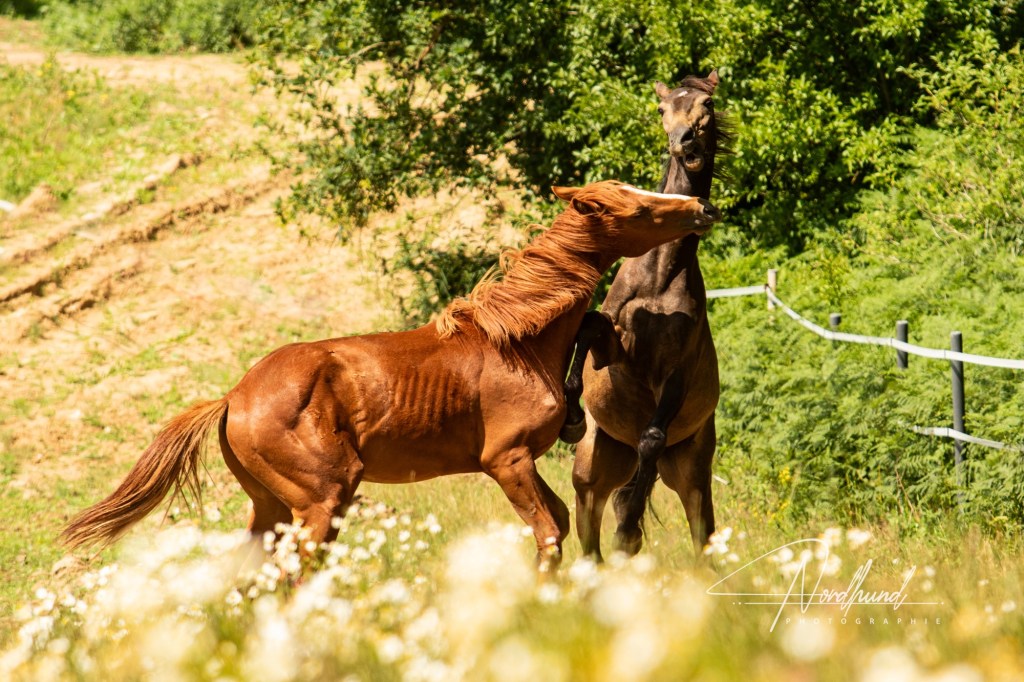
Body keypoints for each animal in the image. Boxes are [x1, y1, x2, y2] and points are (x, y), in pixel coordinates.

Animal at [60, 180, 721, 568]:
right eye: (640, 207)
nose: (702, 208)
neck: (520, 342)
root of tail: (233, 398)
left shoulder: (523, 464)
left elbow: (560, 524)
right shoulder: (506, 461)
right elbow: (549, 536)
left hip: (270, 507)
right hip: (322, 502)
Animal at [560, 70, 728, 560]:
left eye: (708, 105)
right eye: (662, 108)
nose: (684, 142)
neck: (660, 272)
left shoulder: (676, 371)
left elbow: (651, 437)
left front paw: (628, 532)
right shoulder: (616, 340)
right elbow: (588, 326)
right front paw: (571, 417)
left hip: (691, 476)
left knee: (695, 528)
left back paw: (629, 537)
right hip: (590, 478)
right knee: (589, 541)